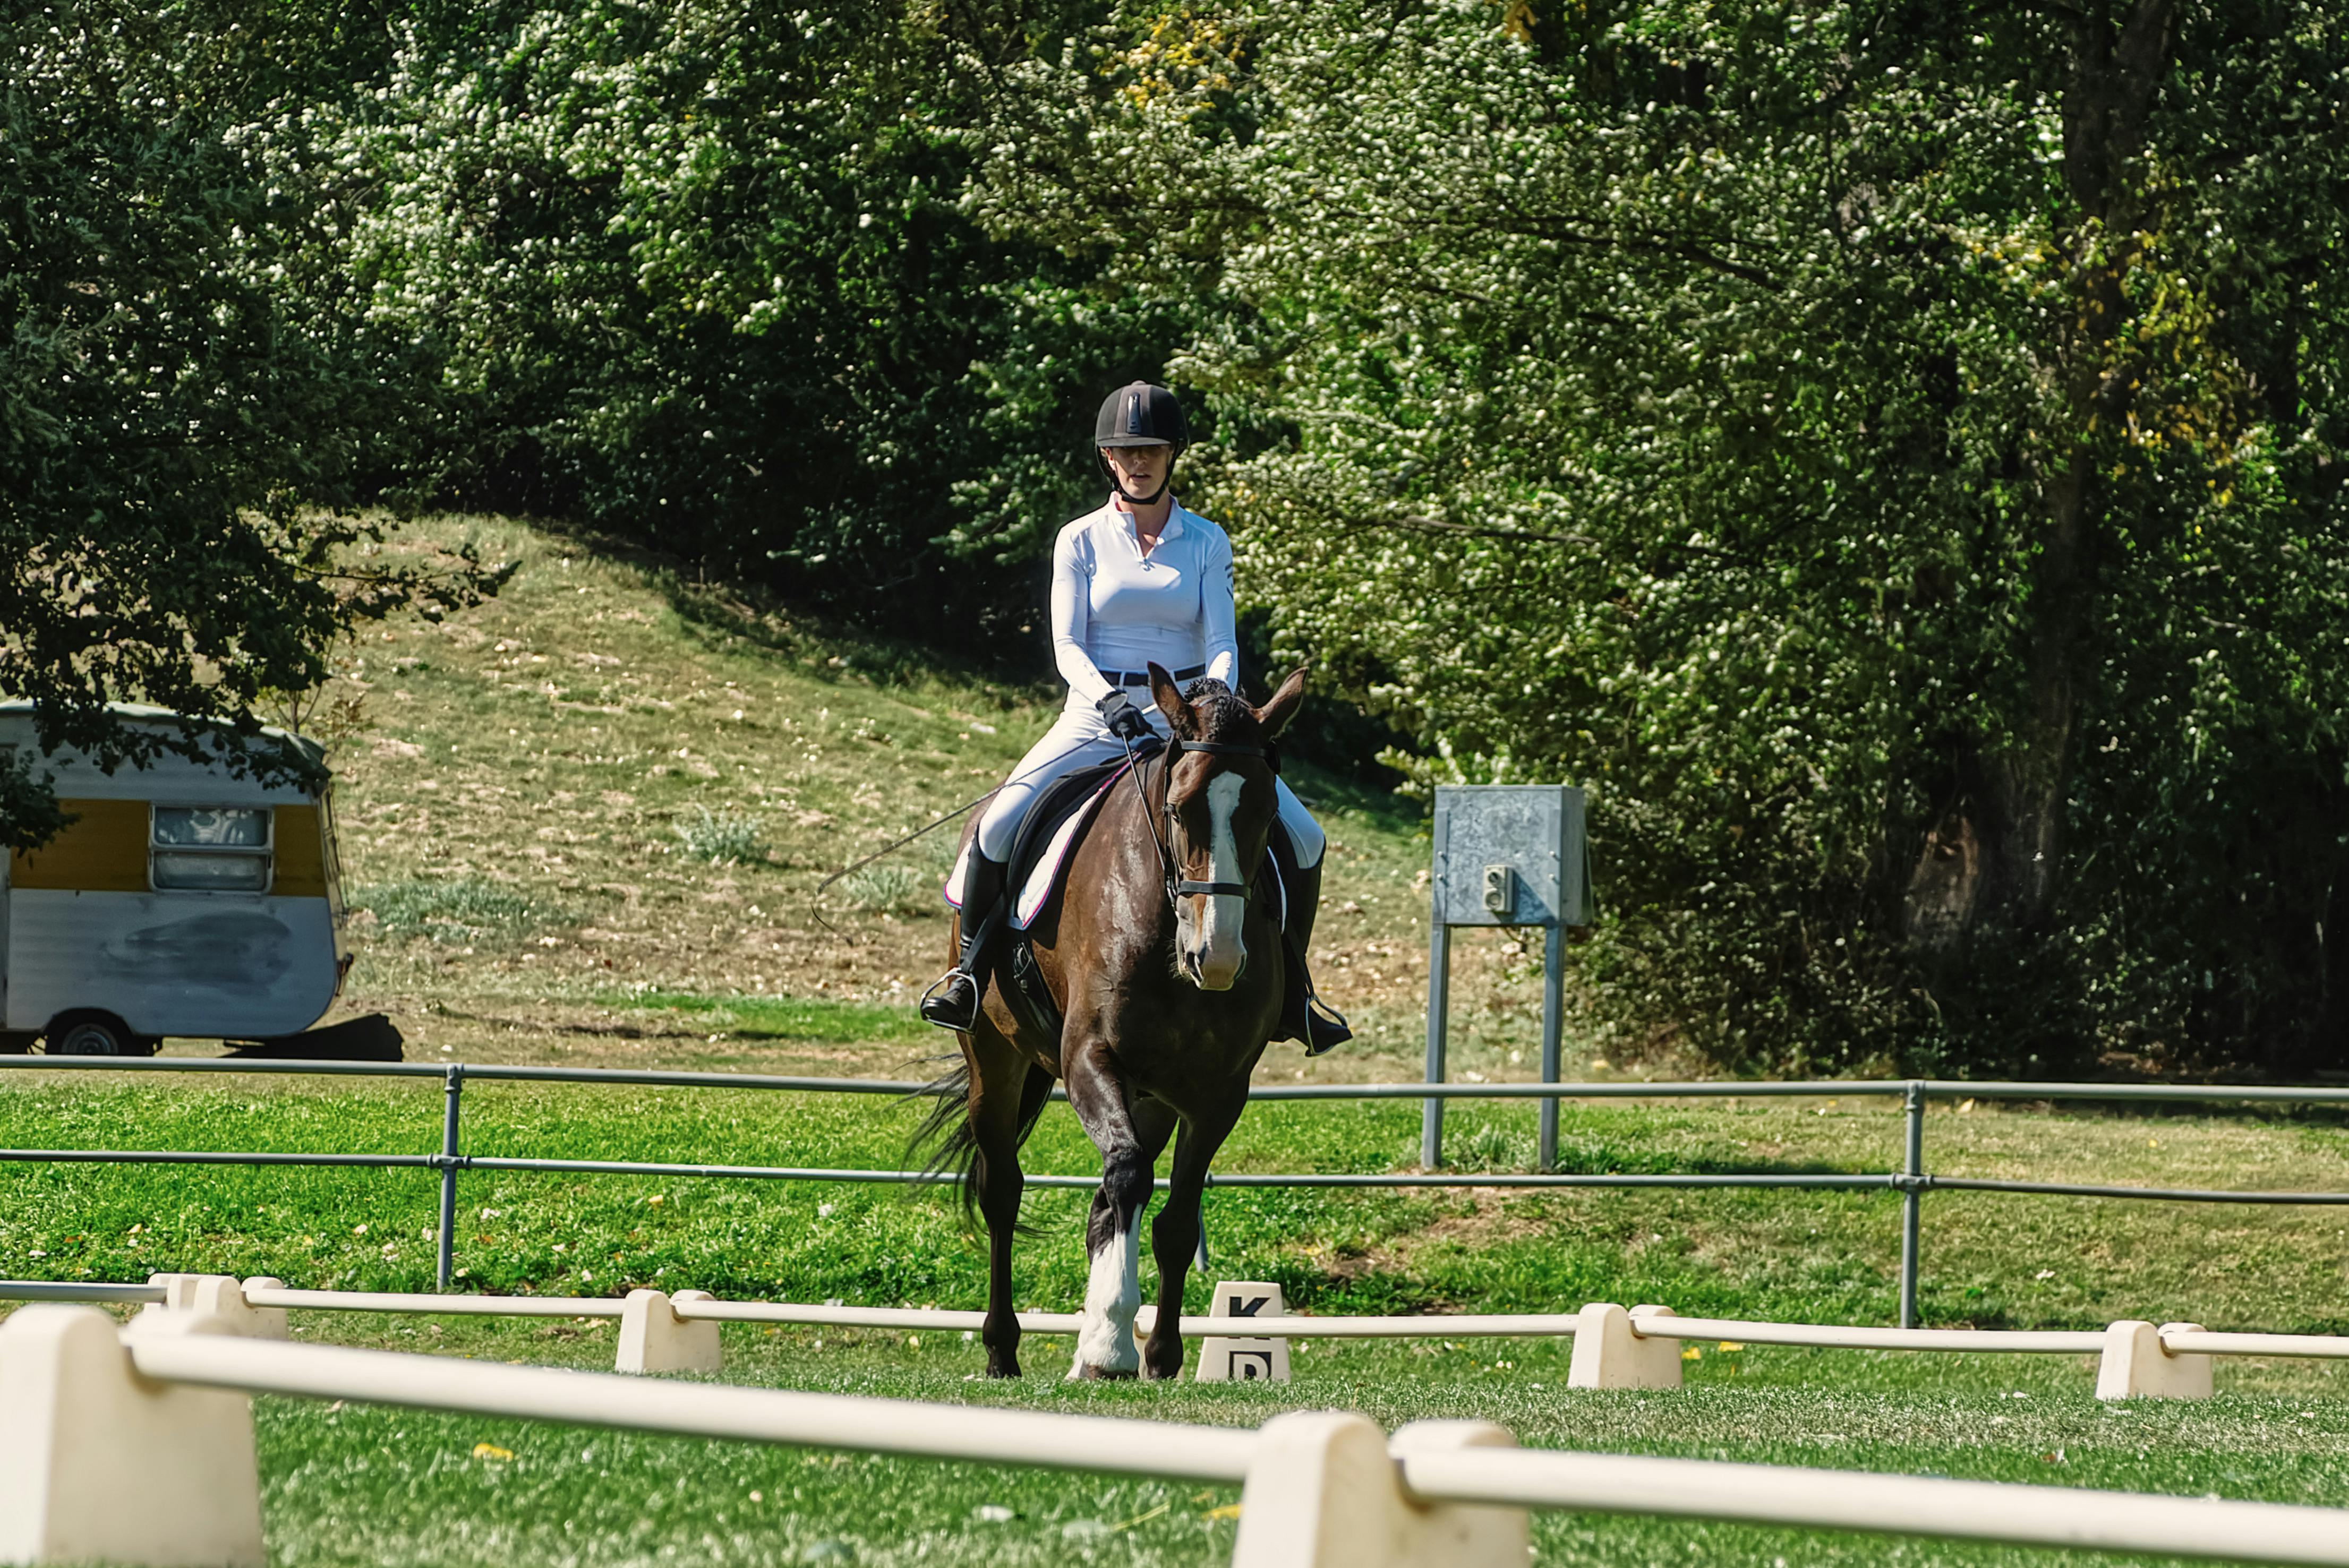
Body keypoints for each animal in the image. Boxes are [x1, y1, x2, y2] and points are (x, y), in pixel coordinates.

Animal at [916, 661, 1307, 1379]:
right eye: (1179, 810)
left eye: (1267, 815)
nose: (1217, 957)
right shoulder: (1088, 1057)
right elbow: (1126, 1175)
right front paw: (1112, 1346)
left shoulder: (1219, 1091)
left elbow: (1175, 1219)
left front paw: (1156, 1353)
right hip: (994, 1056)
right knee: (1003, 1191)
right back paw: (1004, 1349)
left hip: (1150, 1094)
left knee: (1107, 1200)